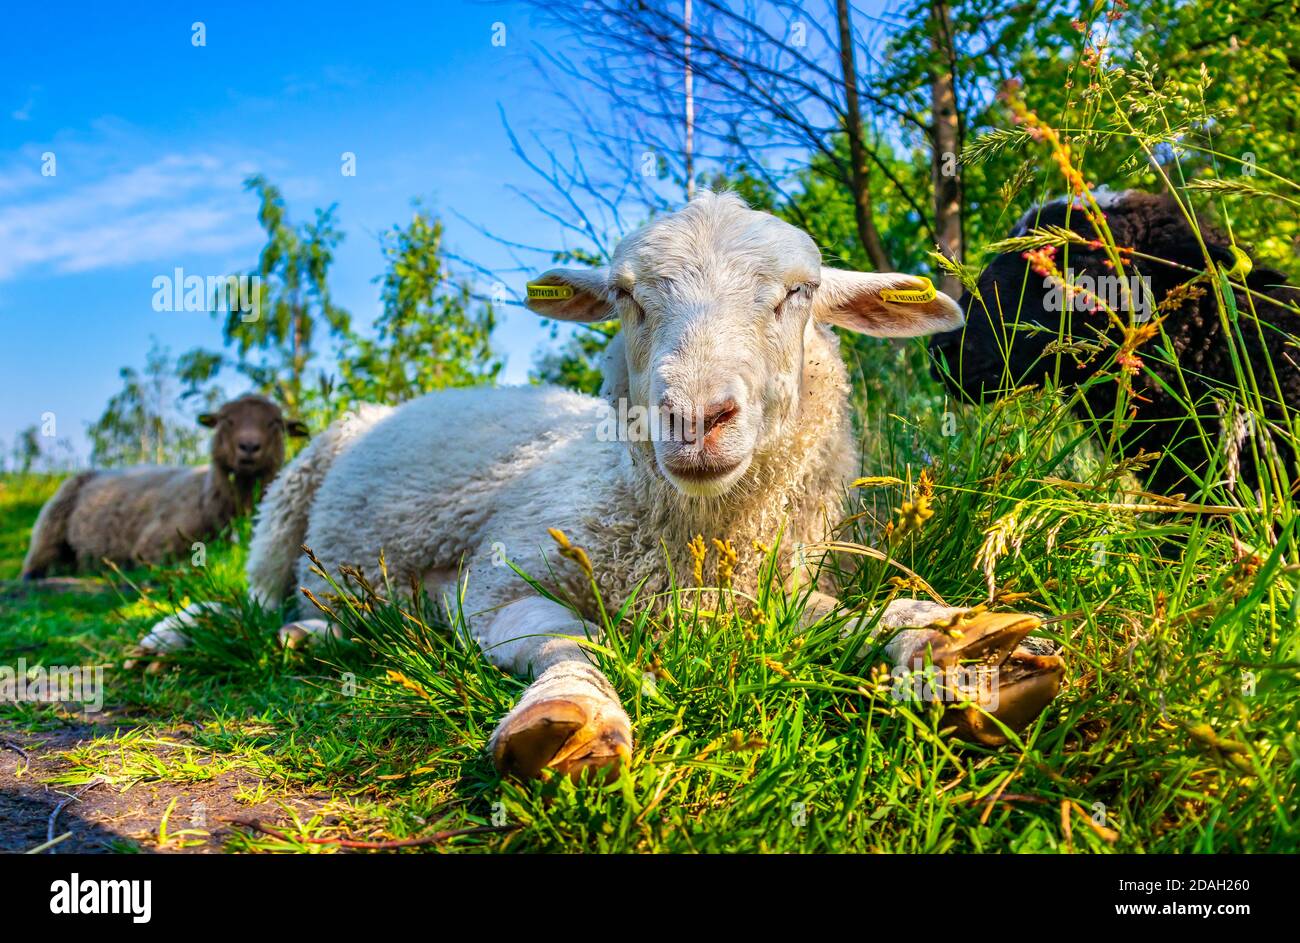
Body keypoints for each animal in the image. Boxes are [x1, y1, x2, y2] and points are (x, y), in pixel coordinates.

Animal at [20, 392, 306, 577]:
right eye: (227, 420)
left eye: (275, 423)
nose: (249, 446)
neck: (207, 495)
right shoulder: (154, 544)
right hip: (50, 523)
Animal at [139, 192, 1066, 780]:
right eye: (627, 297)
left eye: (797, 294)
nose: (696, 416)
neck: (693, 542)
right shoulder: (495, 583)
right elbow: (573, 642)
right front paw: (567, 719)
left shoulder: (764, 588)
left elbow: (850, 617)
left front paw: (954, 645)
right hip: (290, 498)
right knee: (255, 599)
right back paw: (181, 636)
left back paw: (313, 638)